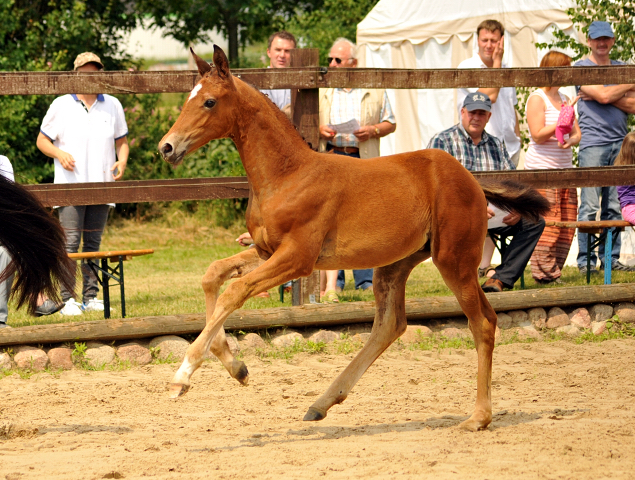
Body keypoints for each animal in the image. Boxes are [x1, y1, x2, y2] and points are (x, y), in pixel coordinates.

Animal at [158, 47, 548, 432]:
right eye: (188, 98)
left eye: (209, 102)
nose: (166, 147)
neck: (287, 175)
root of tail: (471, 179)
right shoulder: (267, 251)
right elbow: (212, 275)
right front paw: (235, 367)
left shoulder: (298, 257)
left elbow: (234, 291)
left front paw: (182, 376)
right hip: (395, 264)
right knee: (391, 324)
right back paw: (322, 403)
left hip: (454, 260)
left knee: (481, 323)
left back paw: (479, 416)